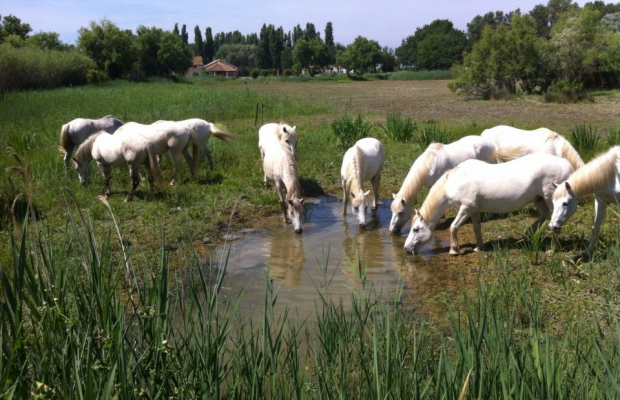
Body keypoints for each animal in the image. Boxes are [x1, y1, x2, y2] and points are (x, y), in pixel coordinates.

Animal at [404, 153, 572, 256]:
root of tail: (566, 163)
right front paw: (479, 247)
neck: (455, 181)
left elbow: (453, 227)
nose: (406, 248)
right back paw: (528, 234)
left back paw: (552, 249)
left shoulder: (466, 208)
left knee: (556, 221)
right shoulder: (473, 210)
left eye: (416, 229)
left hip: (552, 200)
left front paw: (454, 250)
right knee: (544, 215)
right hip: (538, 199)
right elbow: (476, 228)